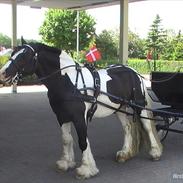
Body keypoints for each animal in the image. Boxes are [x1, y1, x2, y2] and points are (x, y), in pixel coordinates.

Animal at [0, 41, 163, 179]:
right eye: (13, 52)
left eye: (24, 55)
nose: (3, 73)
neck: (68, 81)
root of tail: (133, 72)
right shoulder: (61, 116)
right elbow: (66, 139)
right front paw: (66, 163)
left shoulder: (79, 117)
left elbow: (83, 141)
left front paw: (86, 169)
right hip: (119, 108)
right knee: (128, 128)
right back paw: (124, 153)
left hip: (139, 106)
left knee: (147, 127)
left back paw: (155, 152)